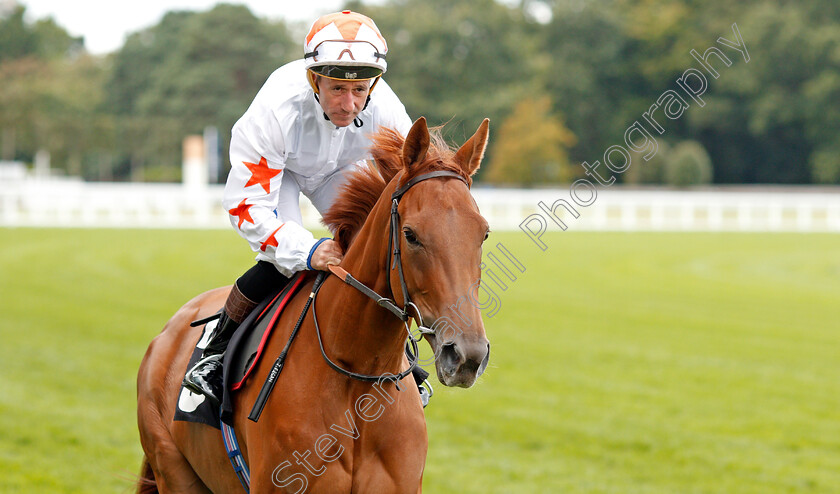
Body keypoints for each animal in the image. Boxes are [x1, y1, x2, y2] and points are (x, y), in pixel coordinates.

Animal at [136, 117, 492, 492]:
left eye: (483, 233)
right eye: (410, 235)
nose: (467, 355)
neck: (356, 377)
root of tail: (168, 332)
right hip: (173, 468)